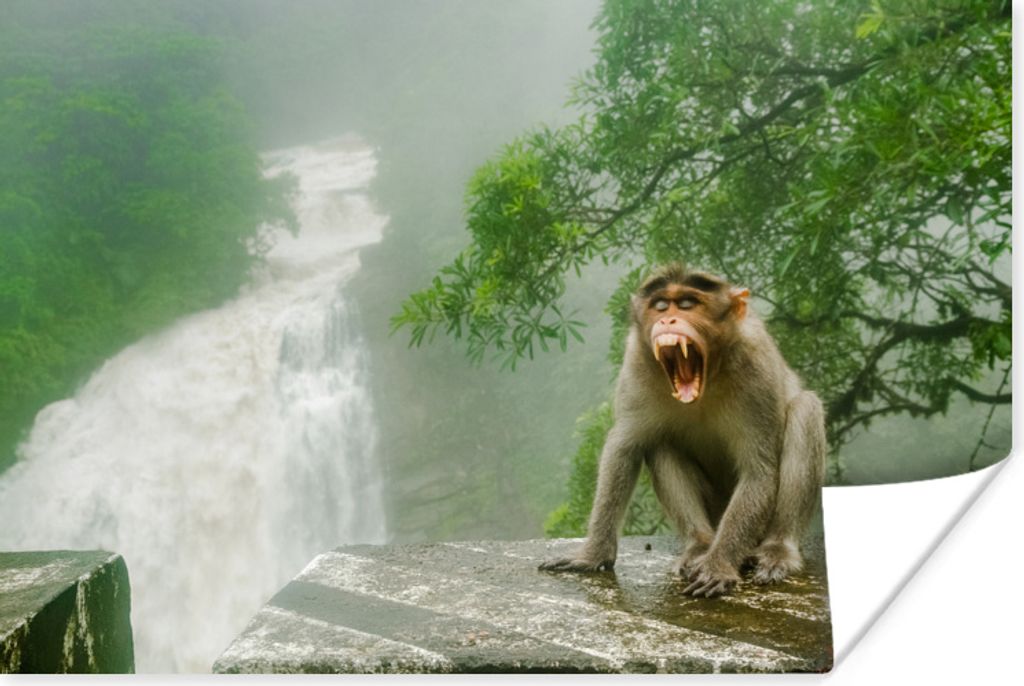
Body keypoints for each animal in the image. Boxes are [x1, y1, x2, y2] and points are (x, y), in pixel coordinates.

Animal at [539, 264, 826, 597]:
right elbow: (624, 447)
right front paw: (593, 554)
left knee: (806, 409)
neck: (710, 375)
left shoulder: (758, 369)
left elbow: (759, 471)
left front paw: (718, 565)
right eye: (661, 306)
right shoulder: (636, 363)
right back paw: (699, 545)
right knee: (659, 442)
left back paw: (777, 549)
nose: (667, 320)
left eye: (688, 304)